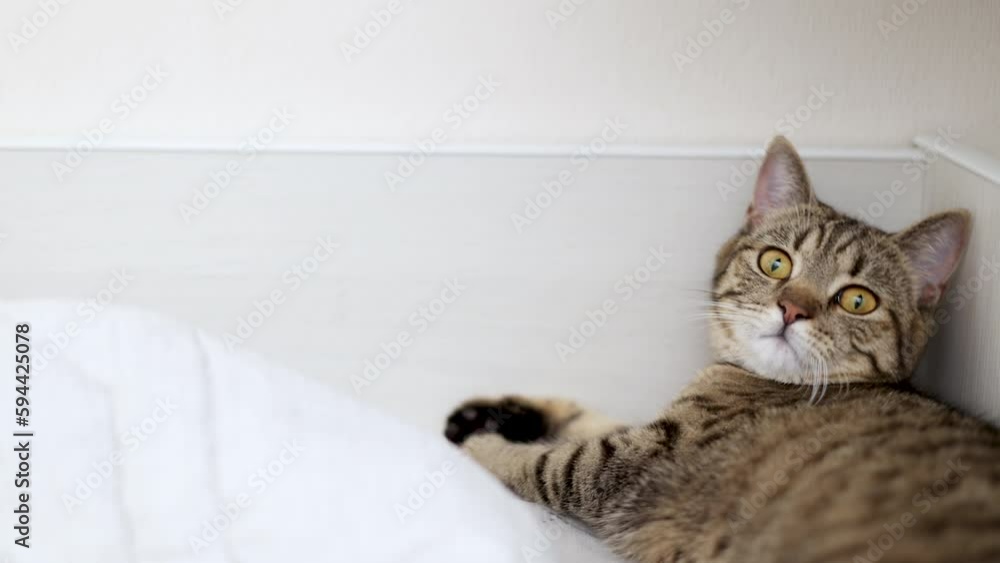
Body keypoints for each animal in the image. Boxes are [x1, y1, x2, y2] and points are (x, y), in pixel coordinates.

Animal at [444, 138, 1000, 563]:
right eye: (776, 263)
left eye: (857, 300)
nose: (791, 309)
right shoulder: (649, 430)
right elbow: (589, 420)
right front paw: (505, 412)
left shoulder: (629, 465)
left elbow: (549, 464)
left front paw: (479, 445)